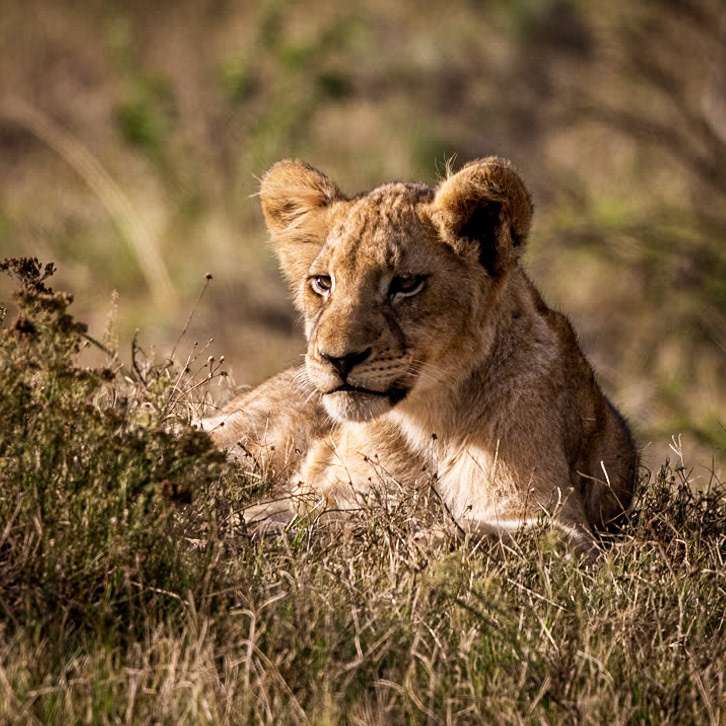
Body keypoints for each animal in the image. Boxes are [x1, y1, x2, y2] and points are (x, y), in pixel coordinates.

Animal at [200, 157, 638, 550]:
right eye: (323, 282)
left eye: (406, 283)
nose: (337, 359)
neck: (430, 423)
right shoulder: (316, 495)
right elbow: (268, 518)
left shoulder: (560, 521)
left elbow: (471, 536)